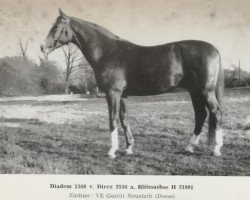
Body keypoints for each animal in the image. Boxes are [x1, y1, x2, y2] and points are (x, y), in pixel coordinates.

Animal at [41, 9, 225, 159]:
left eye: (56, 27)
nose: (43, 47)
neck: (107, 51)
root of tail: (214, 49)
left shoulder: (113, 93)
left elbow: (113, 119)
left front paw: (111, 151)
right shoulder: (122, 95)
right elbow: (124, 119)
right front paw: (129, 148)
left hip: (205, 91)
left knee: (216, 113)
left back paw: (216, 149)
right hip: (195, 91)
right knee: (201, 115)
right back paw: (189, 147)